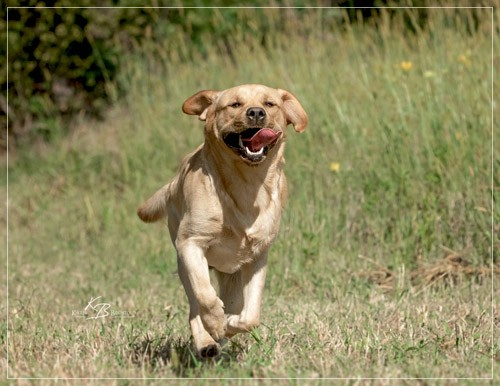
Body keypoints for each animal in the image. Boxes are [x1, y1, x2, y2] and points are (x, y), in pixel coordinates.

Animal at [138, 84, 308, 358]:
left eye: (269, 104)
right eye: (235, 104)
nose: (256, 113)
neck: (246, 186)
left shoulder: (258, 256)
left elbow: (250, 316)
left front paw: (229, 325)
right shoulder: (191, 244)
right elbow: (205, 296)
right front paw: (217, 324)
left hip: (232, 277)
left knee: (233, 303)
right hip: (184, 262)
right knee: (194, 306)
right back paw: (206, 342)